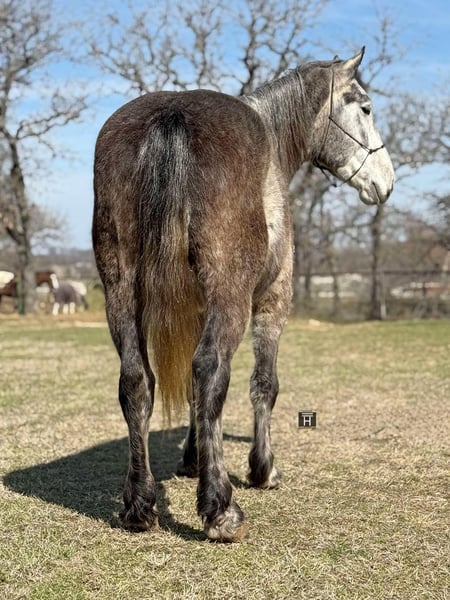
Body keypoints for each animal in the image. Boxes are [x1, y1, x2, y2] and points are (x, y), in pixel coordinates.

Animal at [92, 48, 394, 542]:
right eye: (365, 108)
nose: (385, 182)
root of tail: (171, 116)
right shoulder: (273, 299)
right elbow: (263, 385)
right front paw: (262, 469)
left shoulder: (196, 309)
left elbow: (193, 397)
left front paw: (193, 458)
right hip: (231, 297)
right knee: (210, 370)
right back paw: (221, 510)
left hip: (119, 294)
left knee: (137, 382)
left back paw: (139, 505)